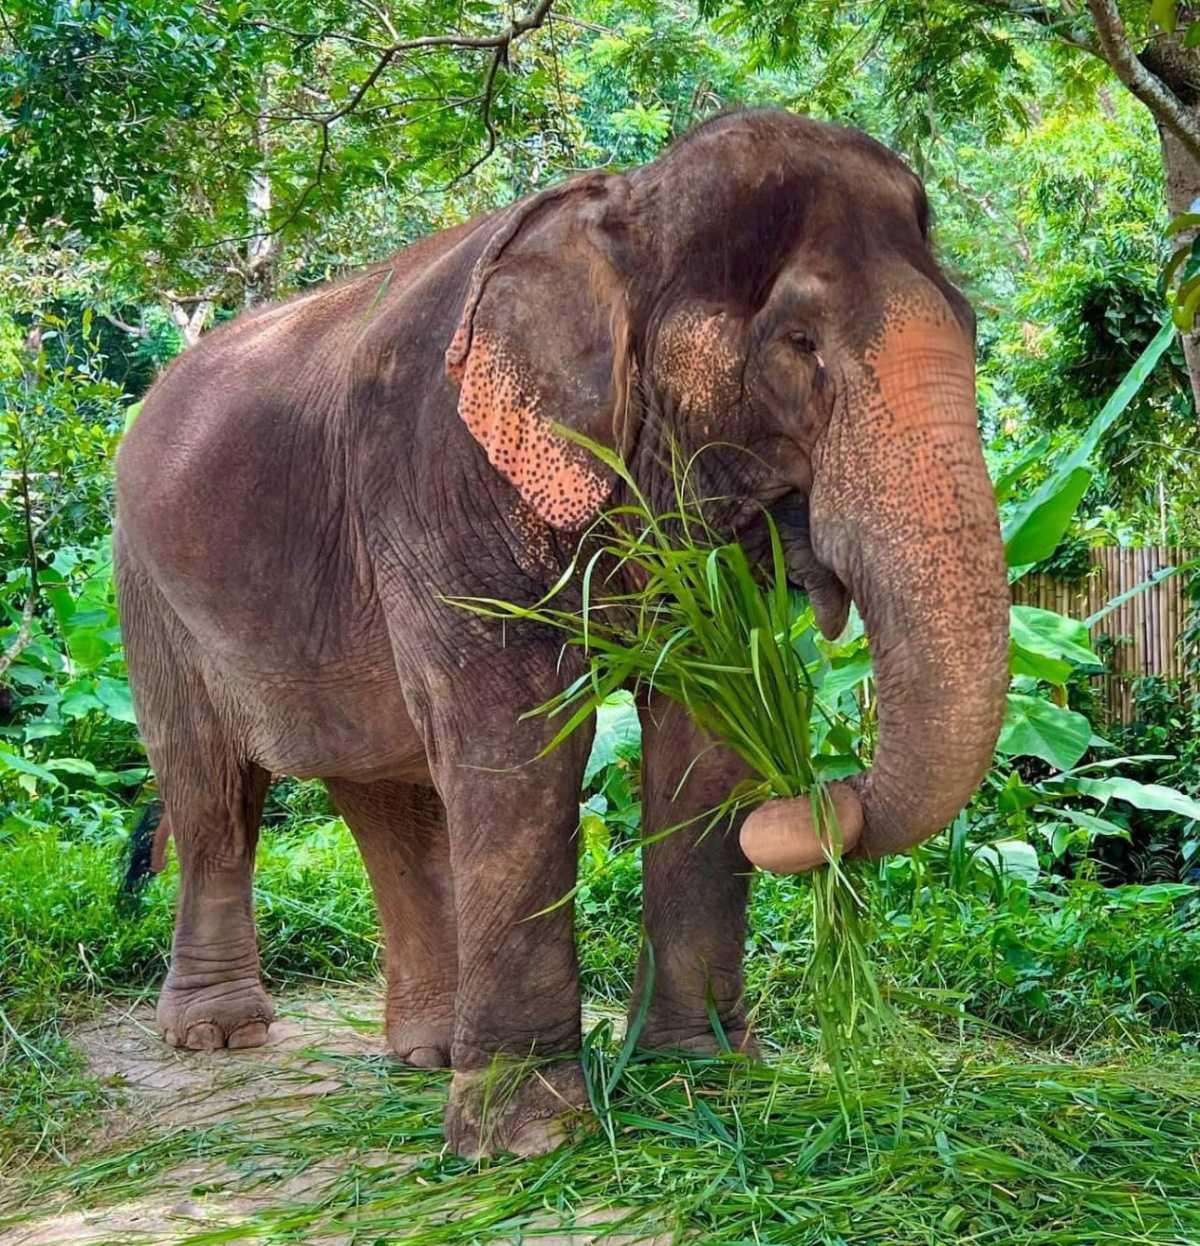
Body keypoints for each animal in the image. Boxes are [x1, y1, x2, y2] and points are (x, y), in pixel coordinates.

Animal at [114, 107, 1010, 1158]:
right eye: (799, 343)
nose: (812, 799)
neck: (625, 205)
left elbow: (704, 740)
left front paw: (700, 1078)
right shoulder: (439, 476)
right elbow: (516, 747)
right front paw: (530, 1138)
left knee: (382, 794)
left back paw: (425, 1053)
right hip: (145, 590)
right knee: (210, 788)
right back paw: (220, 1037)